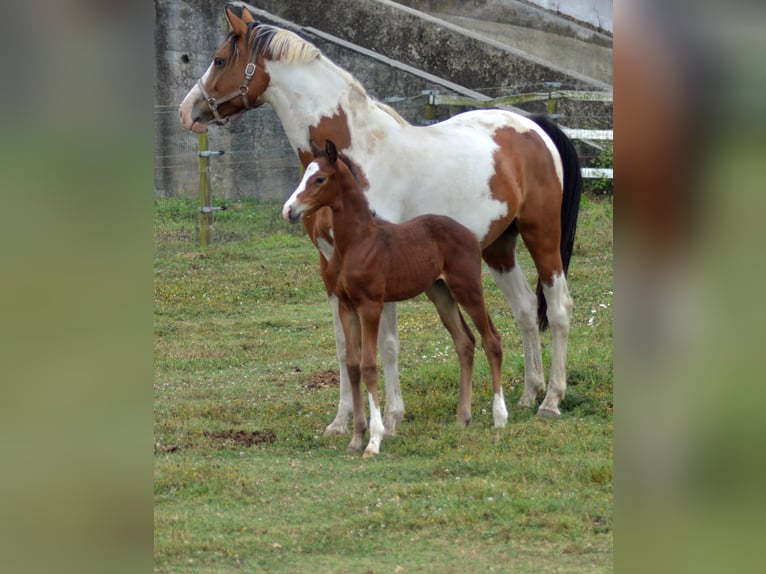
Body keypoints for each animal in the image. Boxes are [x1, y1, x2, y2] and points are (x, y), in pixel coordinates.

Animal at [284, 144, 508, 460]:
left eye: (319, 179)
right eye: (305, 175)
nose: (289, 210)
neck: (357, 243)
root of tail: (468, 233)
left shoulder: (370, 305)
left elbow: (368, 365)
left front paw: (374, 439)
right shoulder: (346, 307)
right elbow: (352, 365)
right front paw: (356, 437)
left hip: (468, 288)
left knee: (492, 340)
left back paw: (500, 416)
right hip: (441, 294)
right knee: (465, 342)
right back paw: (462, 417)